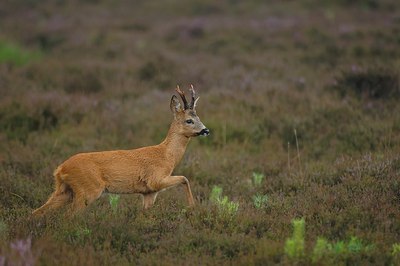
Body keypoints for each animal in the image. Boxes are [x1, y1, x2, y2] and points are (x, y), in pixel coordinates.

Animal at [32, 85, 209, 216]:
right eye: (189, 120)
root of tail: (60, 169)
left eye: (199, 118)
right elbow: (185, 178)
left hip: (64, 190)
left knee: (37, 212)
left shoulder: (149, 192)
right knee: (69, 215)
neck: (166, 156)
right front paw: (192, 207)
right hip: (88, 189)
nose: (206, 130)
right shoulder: (155, 179)